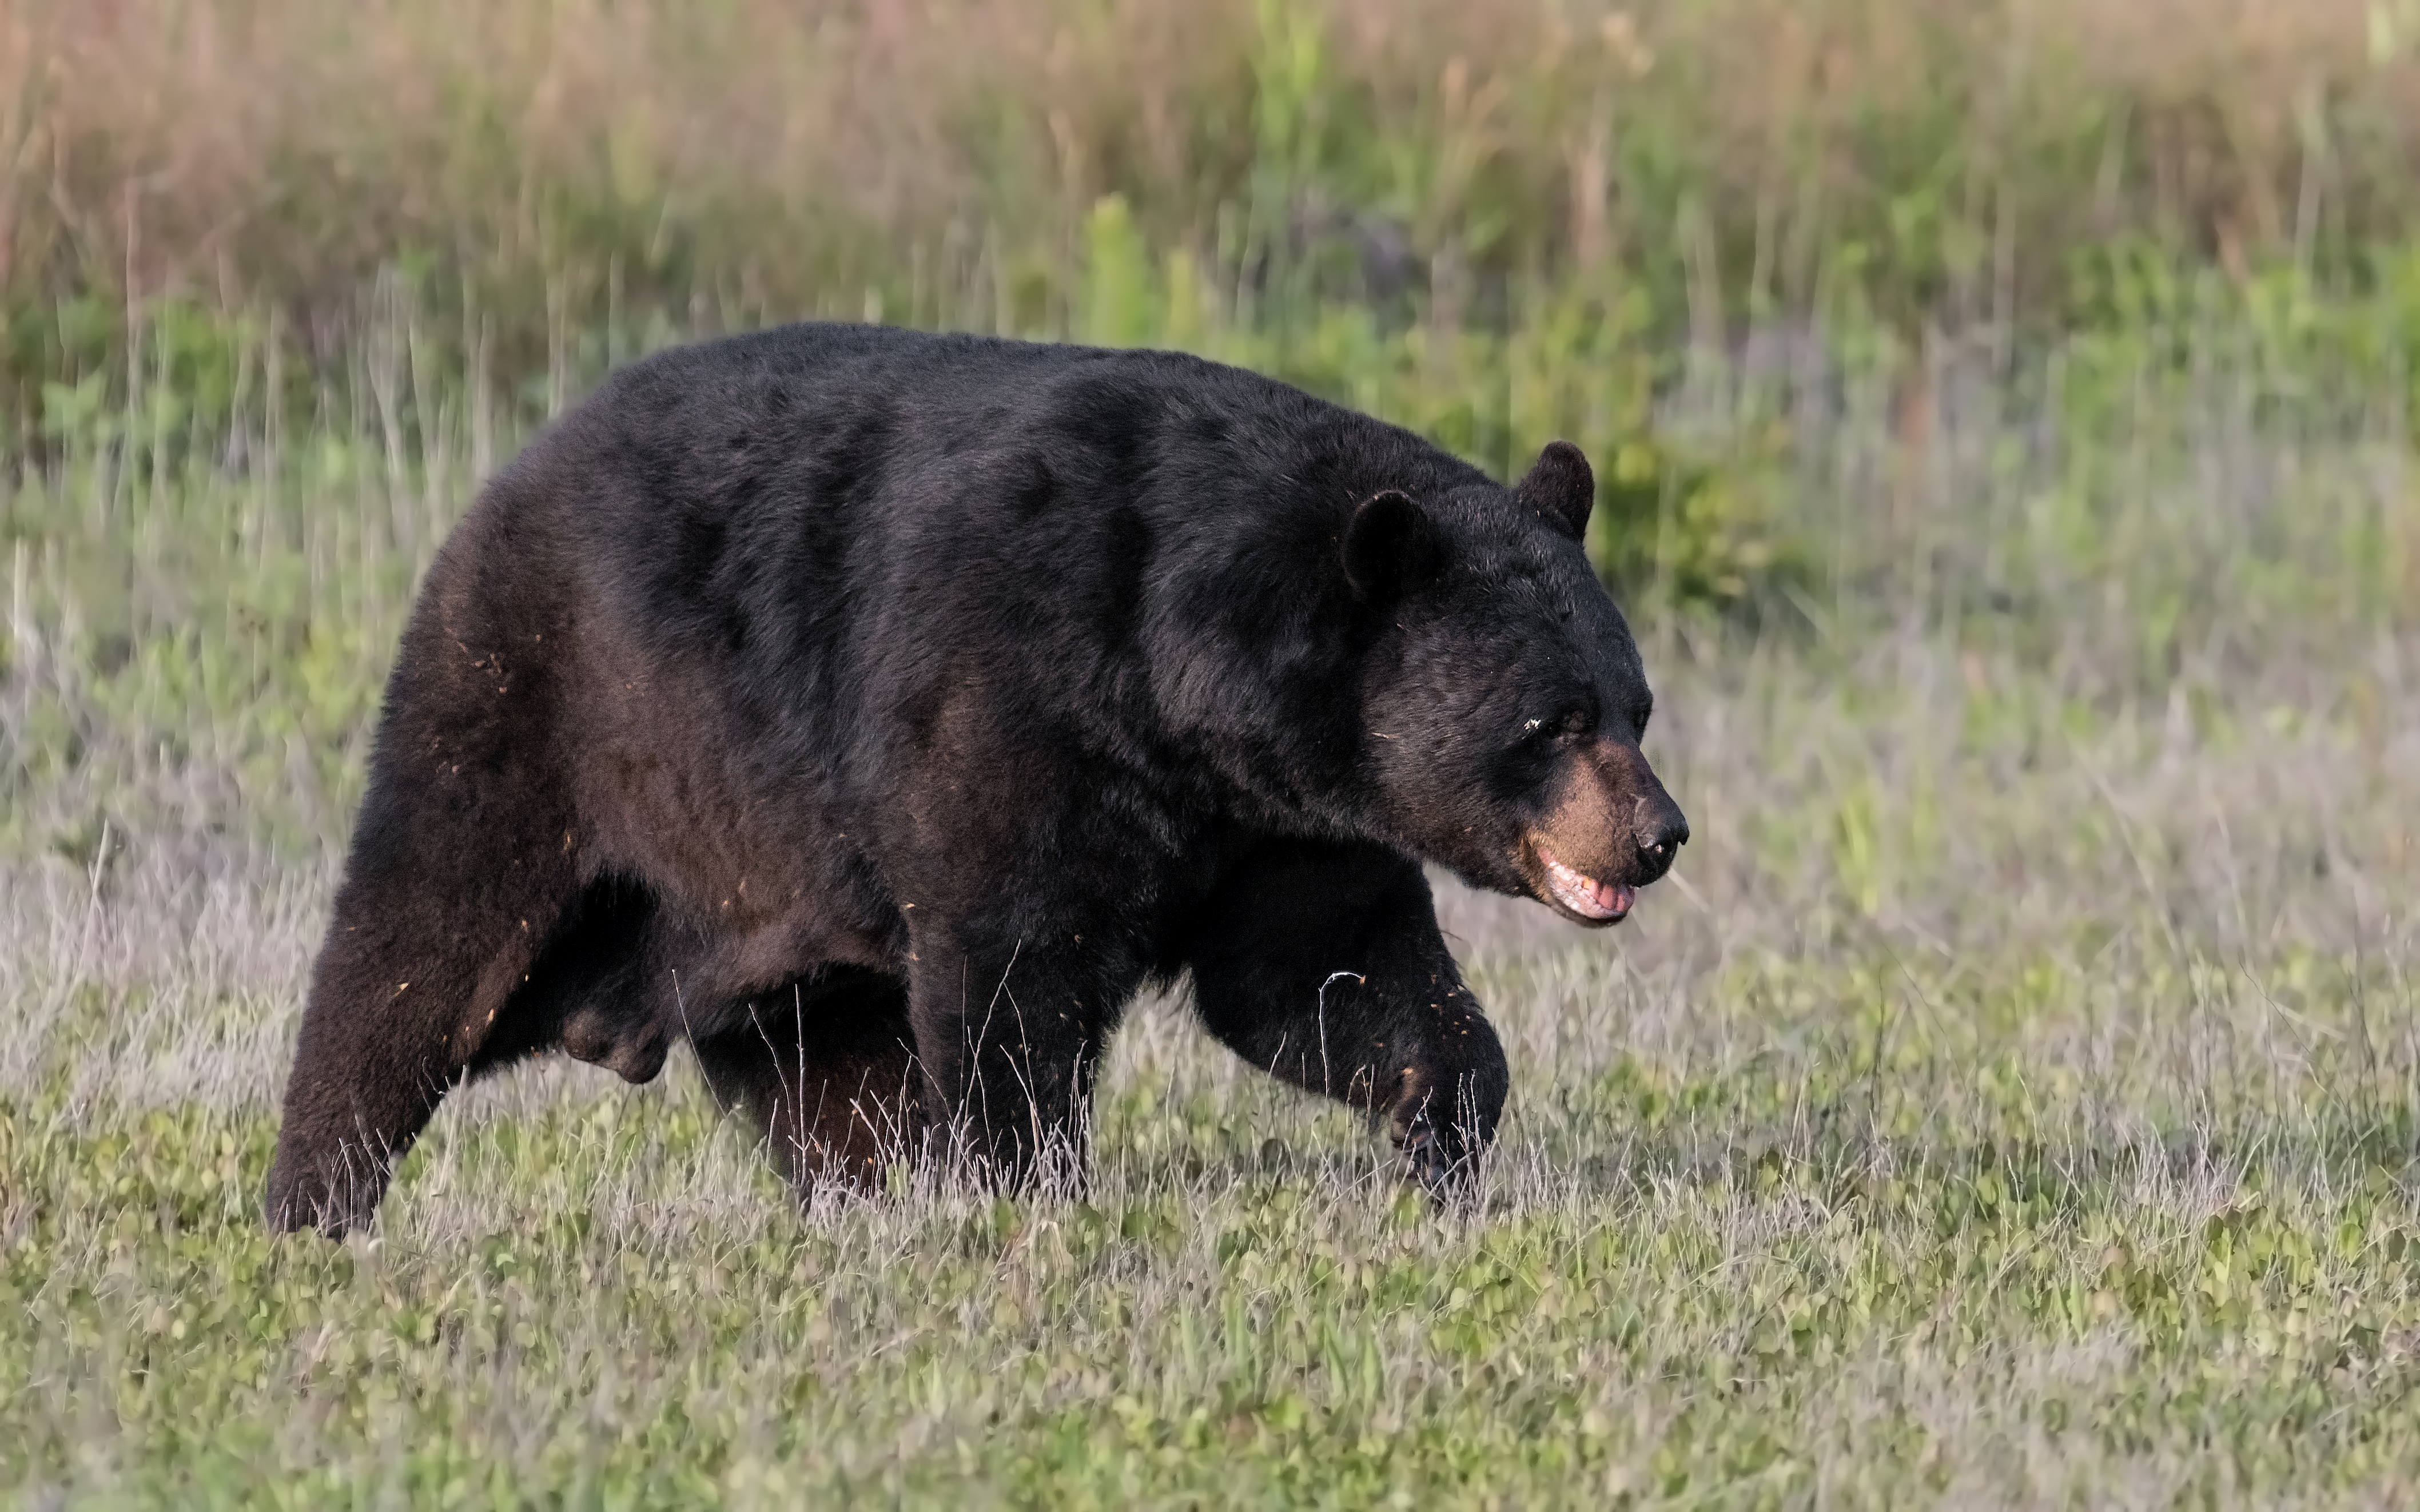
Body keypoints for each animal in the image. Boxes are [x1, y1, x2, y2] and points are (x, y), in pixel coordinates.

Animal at [263, 323, 1688, 1236]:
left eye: (1636, 703)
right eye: (1551, 719)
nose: (1658, 832)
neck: (1177, 676)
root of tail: (511, 470)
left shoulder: (1275, 822)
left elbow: (1323, 975)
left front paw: (1439, 1131)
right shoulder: (1007, 706)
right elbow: (1013, 966)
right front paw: (1028, 1188)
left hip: (768, 894)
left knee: (828, 1074)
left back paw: (868, 1203)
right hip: (544, 713)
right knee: (417, 949)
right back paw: (314, 1198)